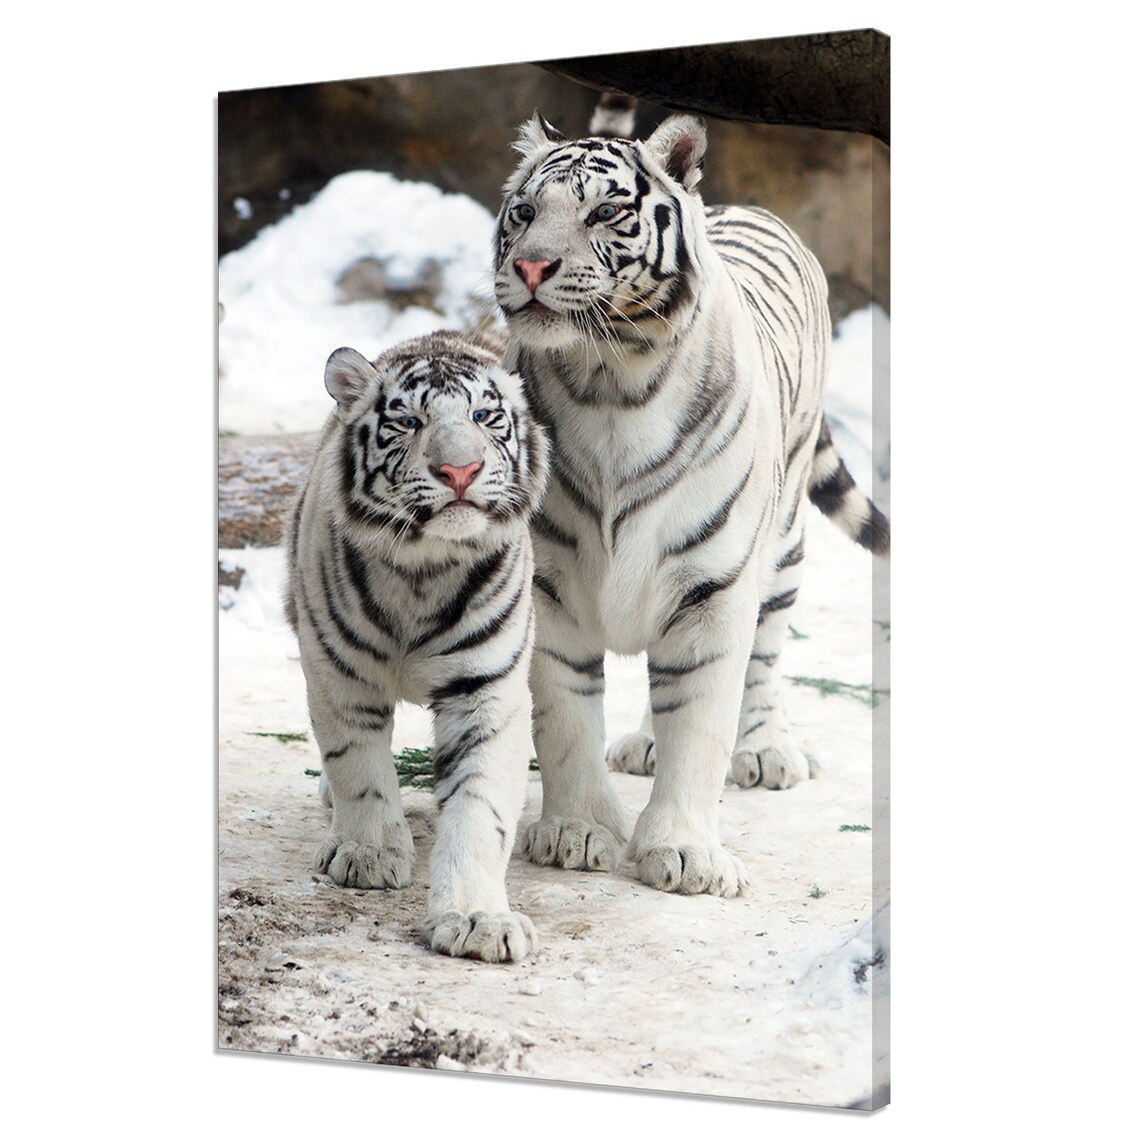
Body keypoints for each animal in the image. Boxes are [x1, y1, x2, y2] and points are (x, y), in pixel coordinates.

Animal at [284, 329, 549, 961]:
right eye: (407, 420)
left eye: (484, 416)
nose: (460, 470)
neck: (423, 570)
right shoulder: (338, 673)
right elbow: (358, 767)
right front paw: (368, 854)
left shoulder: (486, 691)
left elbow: (480, 808)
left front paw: (479, 919)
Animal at [492, 112, 889, 898]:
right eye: (523, 212)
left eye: (602, 213)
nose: (529, 267)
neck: (608, 380)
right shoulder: (550, 586)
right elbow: (565, 717)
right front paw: (575, 832)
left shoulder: (713, 587)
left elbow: (703, 724)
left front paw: (685, 854)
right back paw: (646, 743)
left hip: (783, 542)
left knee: (763, 655)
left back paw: (765, 750)